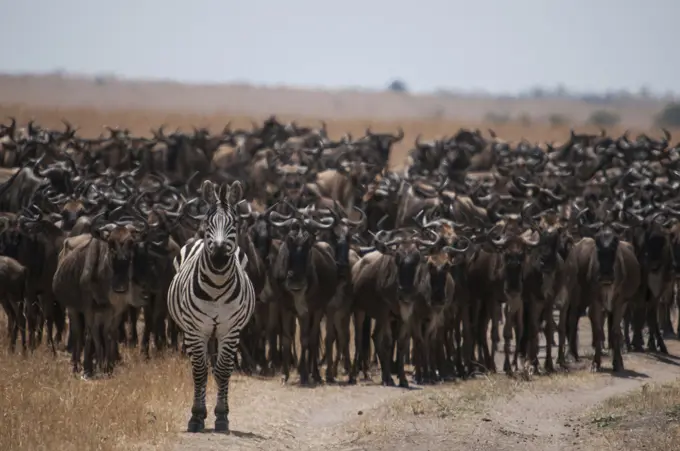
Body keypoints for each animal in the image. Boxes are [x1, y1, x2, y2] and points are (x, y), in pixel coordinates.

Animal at [169, 181, 256, 434]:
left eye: (234, 223)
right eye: (209, 223)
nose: (218, 257)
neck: (217, 286)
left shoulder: (230, 330)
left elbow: (224, 370)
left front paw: (221, 416)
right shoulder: (195, 330)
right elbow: (199, 372)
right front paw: (197, 416)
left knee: (217, 368)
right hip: (197, 331)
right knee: (202, 367)